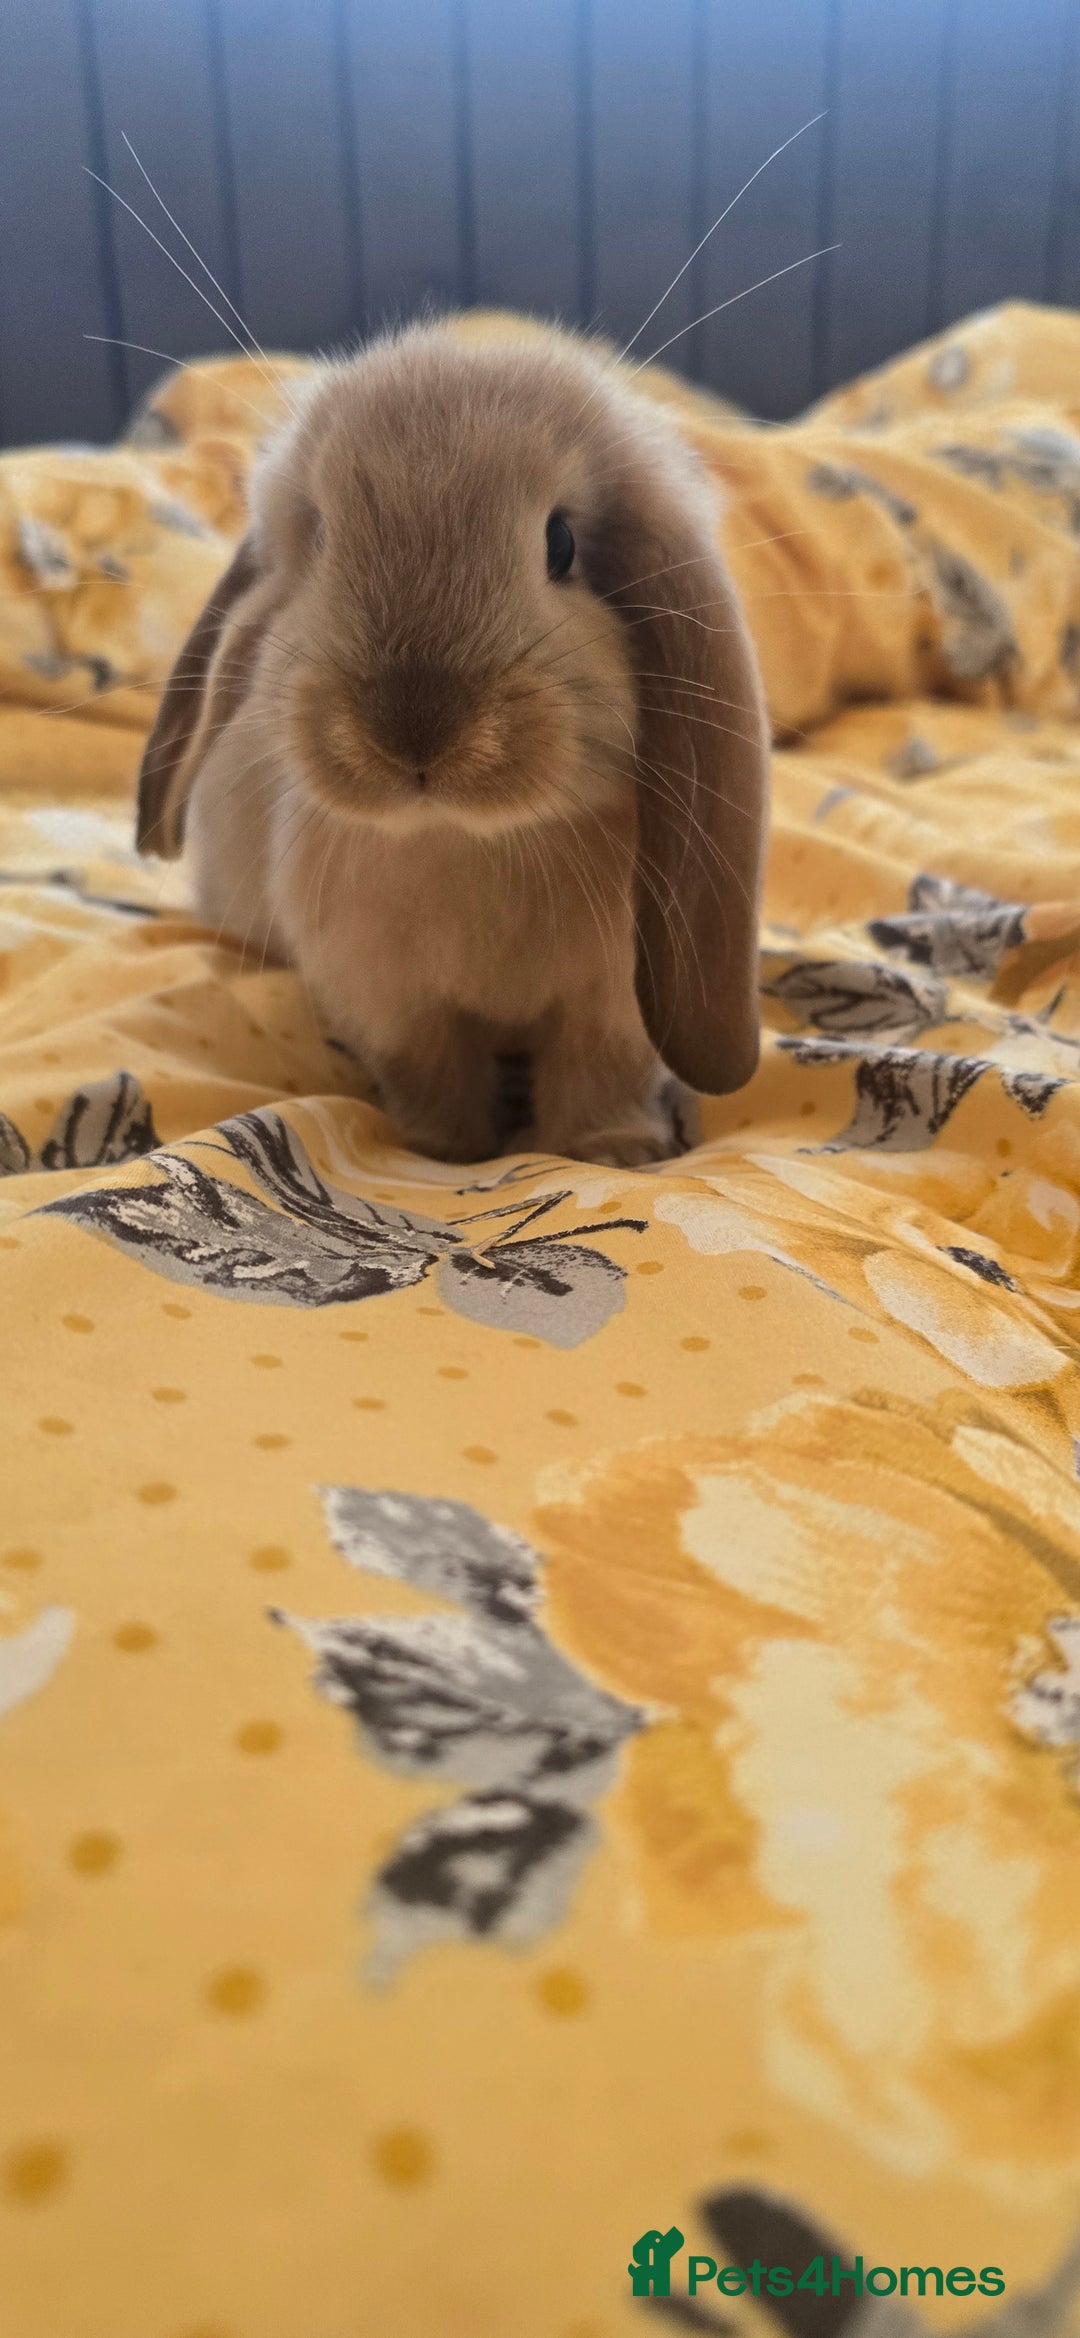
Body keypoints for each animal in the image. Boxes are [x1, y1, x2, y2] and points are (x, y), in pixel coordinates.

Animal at [135, 321, 770, 1166]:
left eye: (561, 543)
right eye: (323, 537)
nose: (414, 727)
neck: (470, 843)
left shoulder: (608, 1005)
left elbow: (596, 1077)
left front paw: (610, 1154)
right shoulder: (393, 1002)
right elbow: (435, 1076)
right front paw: (446, 1156)